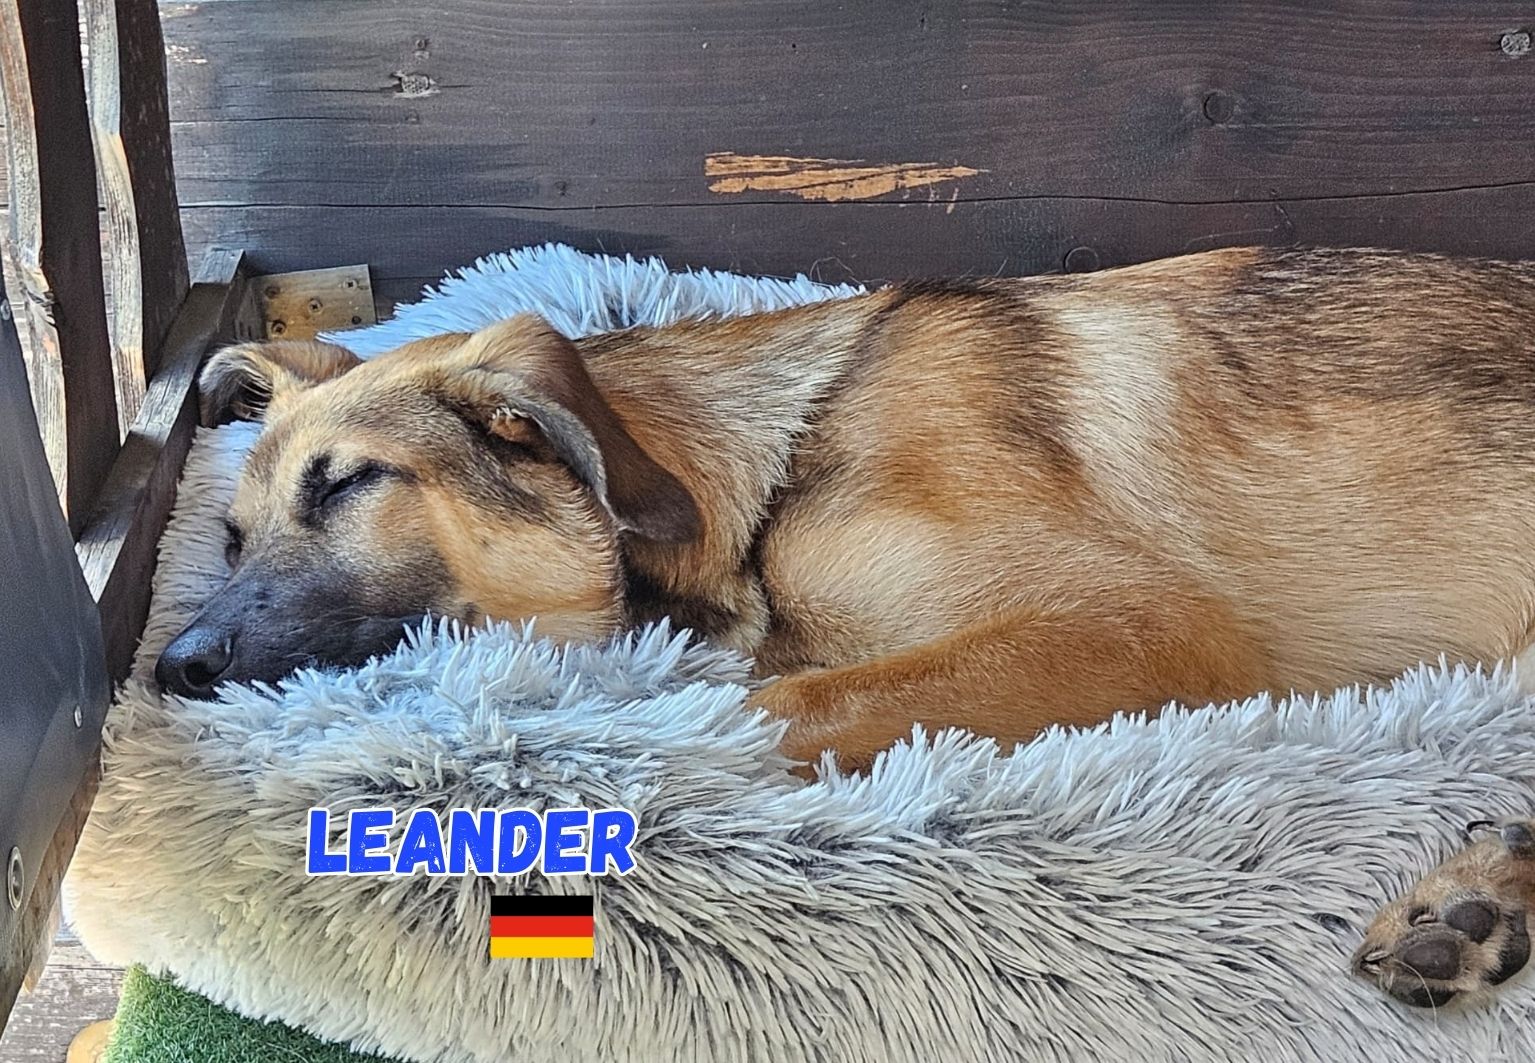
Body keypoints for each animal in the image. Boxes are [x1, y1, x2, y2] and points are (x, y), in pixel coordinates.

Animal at [156, 245, 1535, 1007]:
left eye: (345, 484)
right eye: (227, 536)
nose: (174, 665)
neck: (763, 472)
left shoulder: (1143, 627)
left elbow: (780, 703)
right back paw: (1480, 900)